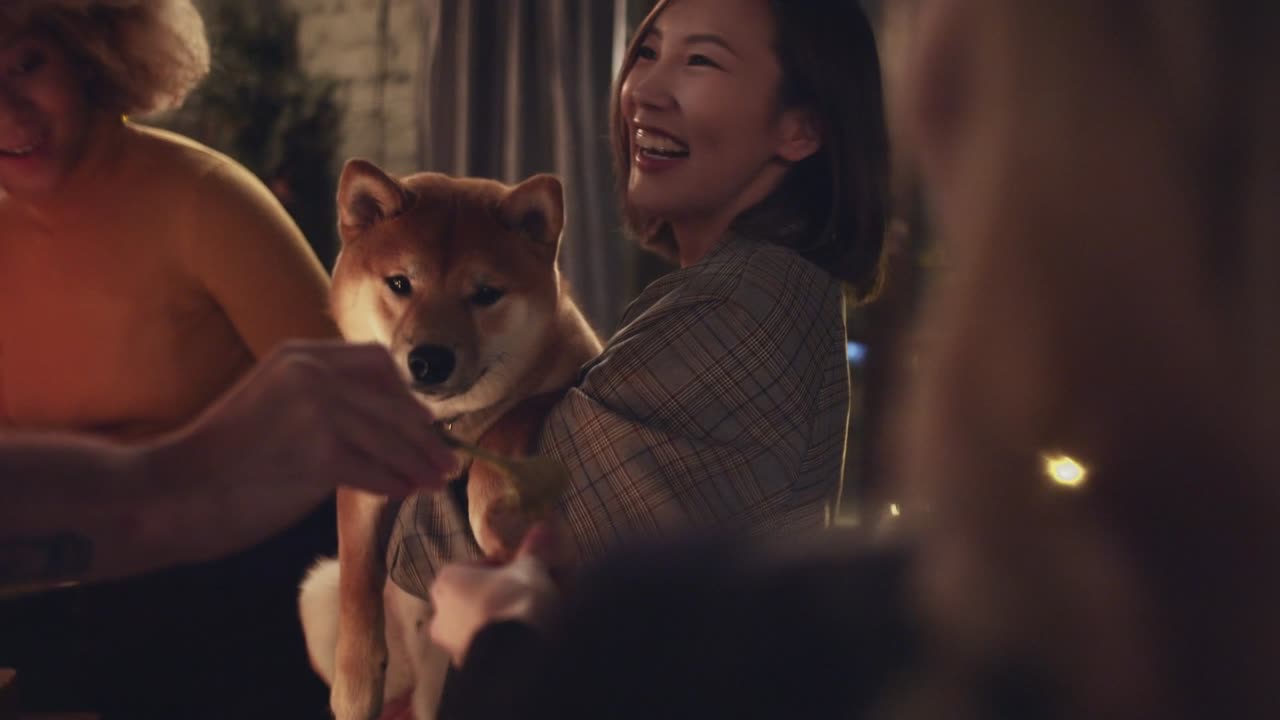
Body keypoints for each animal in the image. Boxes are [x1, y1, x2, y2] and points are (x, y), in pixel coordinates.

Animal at [298, 158, 599, 717]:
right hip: (316, 596)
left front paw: (492, 514)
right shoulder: (361, 475)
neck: (444, 423)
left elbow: (504, 430)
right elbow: (357, 577)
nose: (430, 360)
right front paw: (354, 685)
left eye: (485, 294)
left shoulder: (571, 376)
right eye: (400, 282)